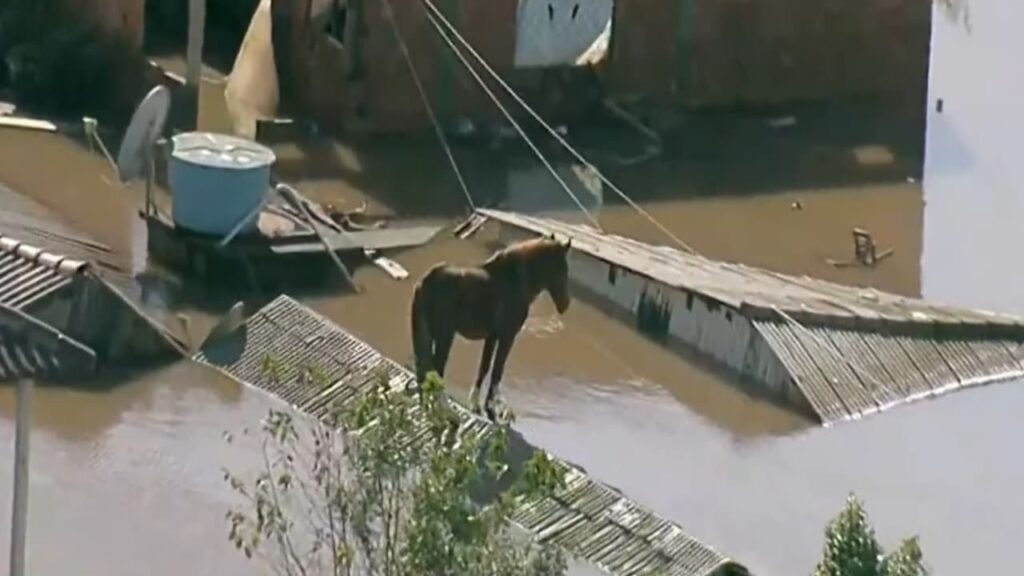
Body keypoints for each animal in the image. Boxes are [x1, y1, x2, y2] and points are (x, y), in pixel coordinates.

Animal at [410, 233, 572, 420]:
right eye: (562, 269)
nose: (565, 304)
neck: (515, 281)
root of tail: (425, 281)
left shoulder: (492, 336)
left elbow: (484, 368)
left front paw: (476, 404)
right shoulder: (507, 337)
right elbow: (497, 371)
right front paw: (491, 409)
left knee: (424, 371)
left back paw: (428, 407)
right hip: (445, 336)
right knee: (436, 370)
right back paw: (444, 409)